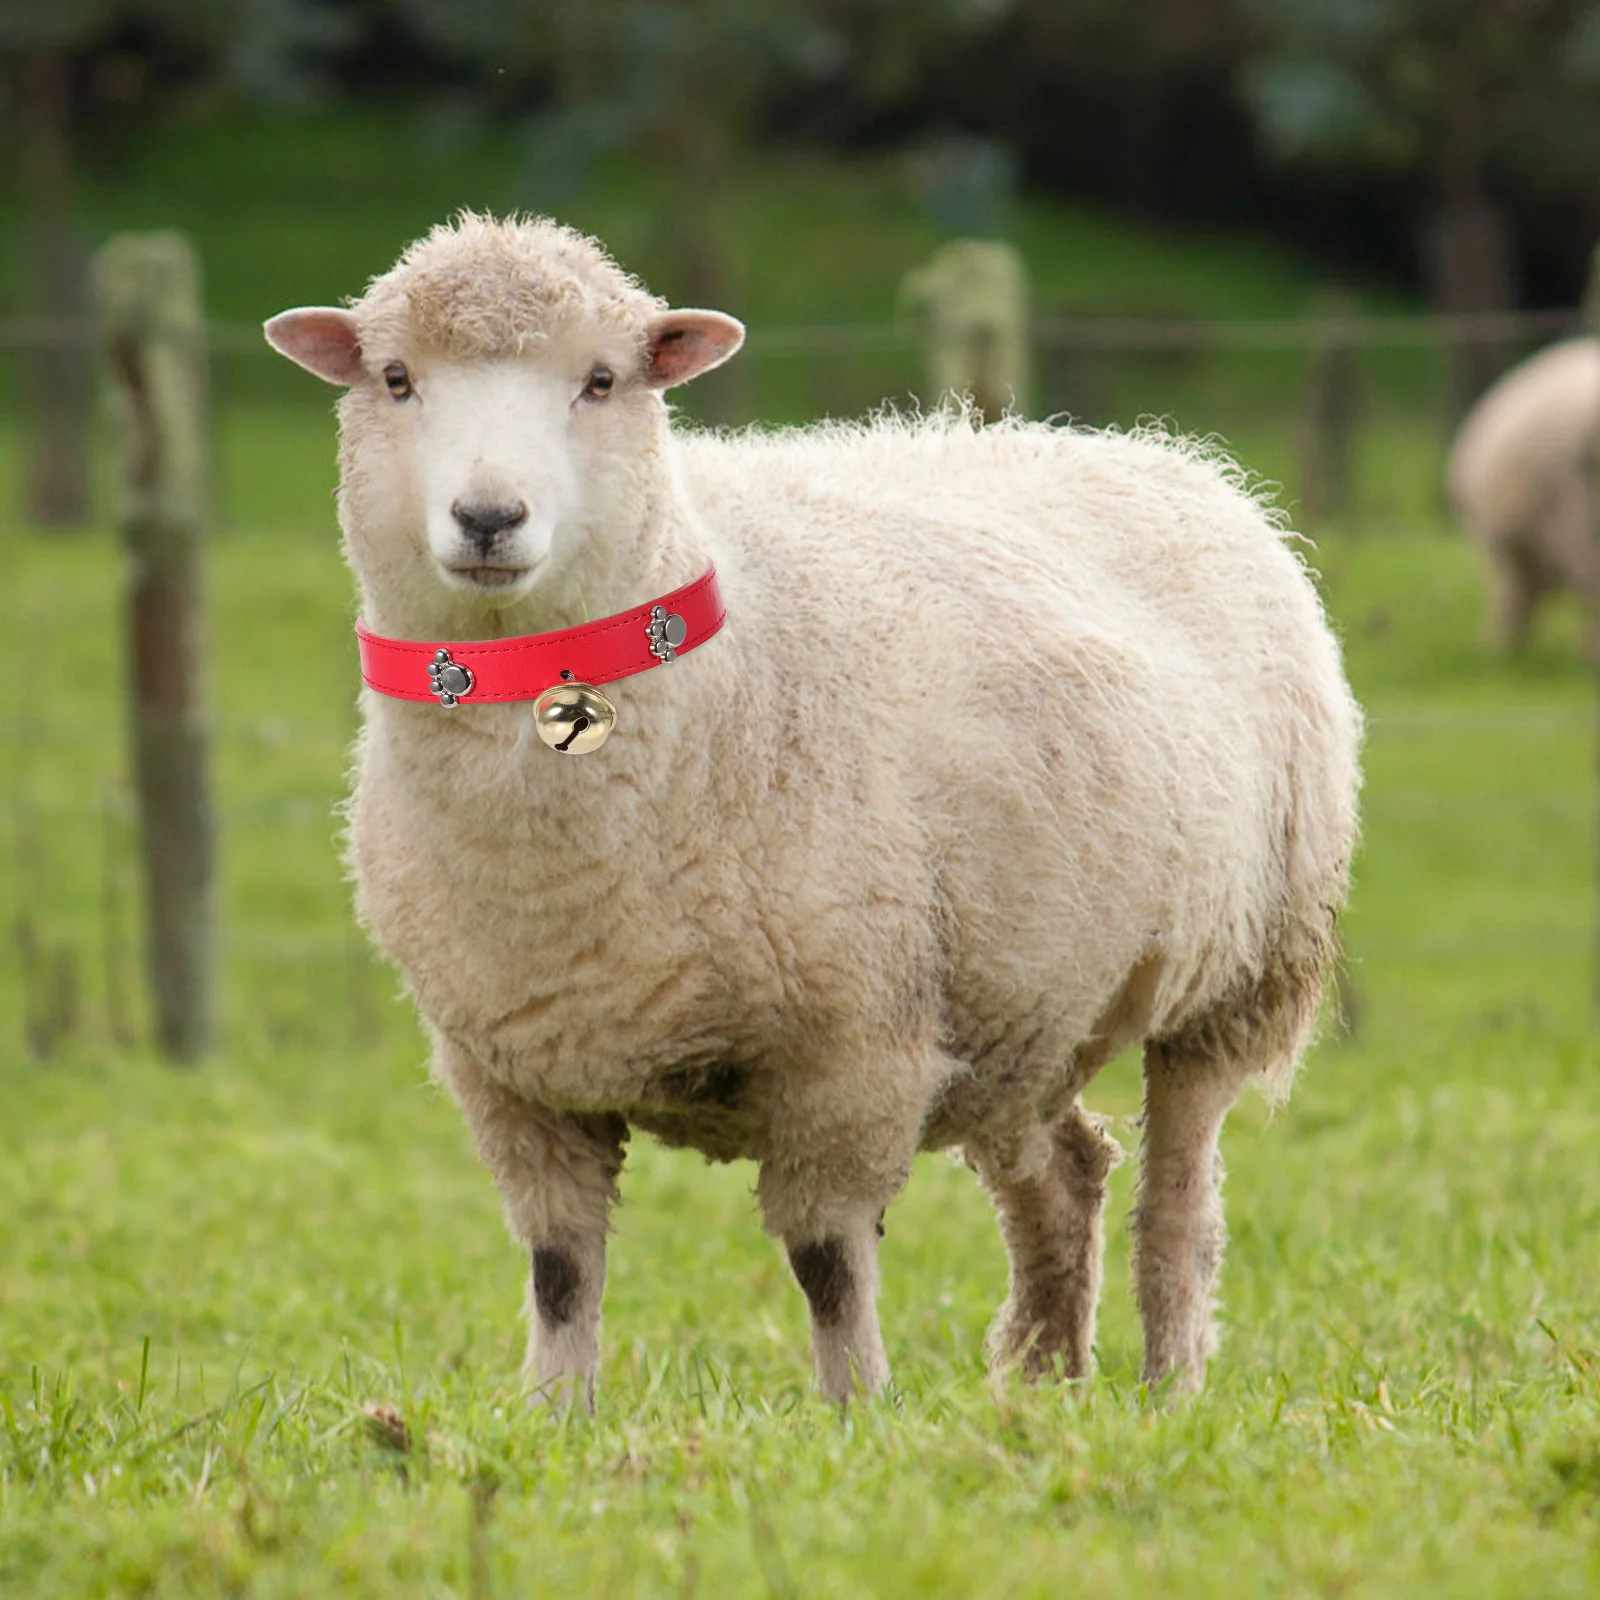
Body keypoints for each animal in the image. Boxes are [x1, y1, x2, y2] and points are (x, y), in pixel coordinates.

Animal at [263, 212, 1363, 1411]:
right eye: (396, 378)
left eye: (602, 380)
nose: (488, 517)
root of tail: (1164, 455)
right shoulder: (511, 1074)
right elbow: (560, 1268)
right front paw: (556, 1417)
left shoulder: (854, 1052)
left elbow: (828, 1262)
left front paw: (856, 1415)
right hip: (1017, 999)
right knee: (1066, 1175)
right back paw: (1040, 1387)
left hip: (1239, 970)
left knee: (1180, 1204)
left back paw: (1167, 1388)